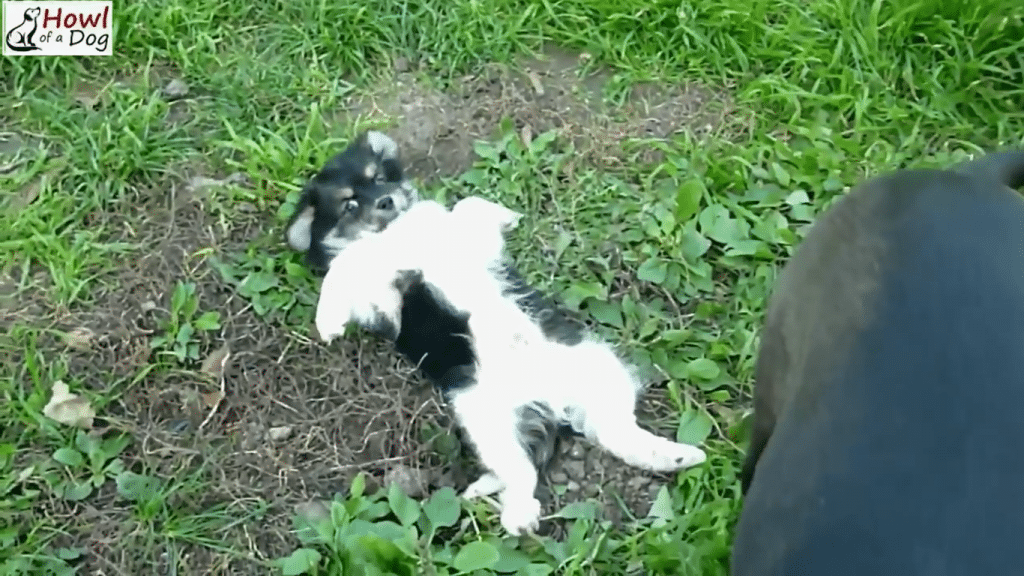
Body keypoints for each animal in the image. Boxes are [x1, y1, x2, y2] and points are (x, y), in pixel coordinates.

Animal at [284, 130, 708, 532]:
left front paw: (507, 214)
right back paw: (518, 514)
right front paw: (328, 322)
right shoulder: (381, 299)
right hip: (486, 419)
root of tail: (550, 402)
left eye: (380, 178)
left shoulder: (460, 239)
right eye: (349, 204)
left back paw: (677, 455)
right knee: (523, 470)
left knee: (612, 433)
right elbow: (342, 269)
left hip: (598, 370)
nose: (388, 201)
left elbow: (466, 205)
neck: (394, 234)